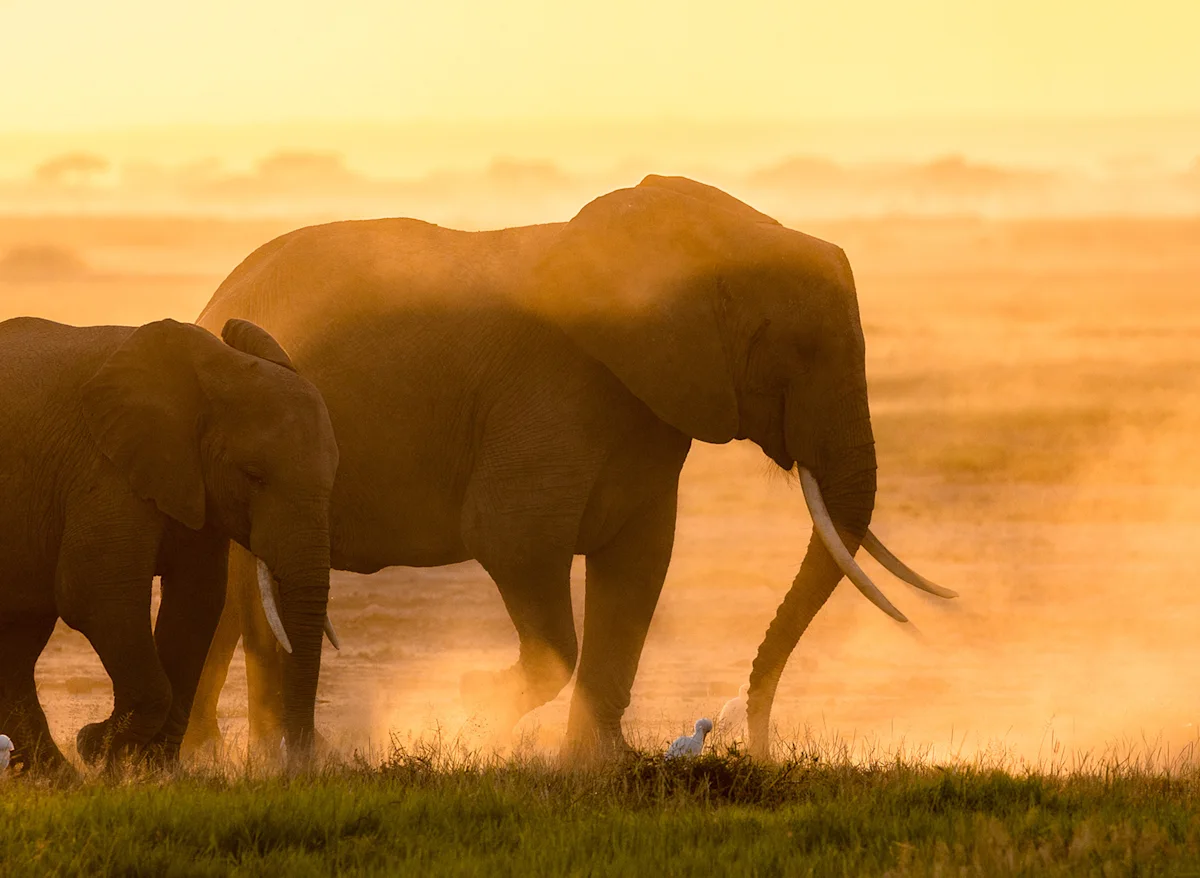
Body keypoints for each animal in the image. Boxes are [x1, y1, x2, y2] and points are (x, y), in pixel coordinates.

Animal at [0, 316, 338, 773]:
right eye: (253, 475)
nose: (299, 766)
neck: (216, 367)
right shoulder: (105, 466)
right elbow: (95, 594)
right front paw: (99, 748)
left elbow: (198, 600)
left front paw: (150, 770)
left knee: (19, 640)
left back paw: (58, 780)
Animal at [187, 175, 953, 759]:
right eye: (796, 351)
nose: (755, 743)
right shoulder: (545, 395)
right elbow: (515, 542)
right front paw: (472, 700)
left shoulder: (648, 410)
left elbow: (640, 565)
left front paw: (599, 765)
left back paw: (216, 760)